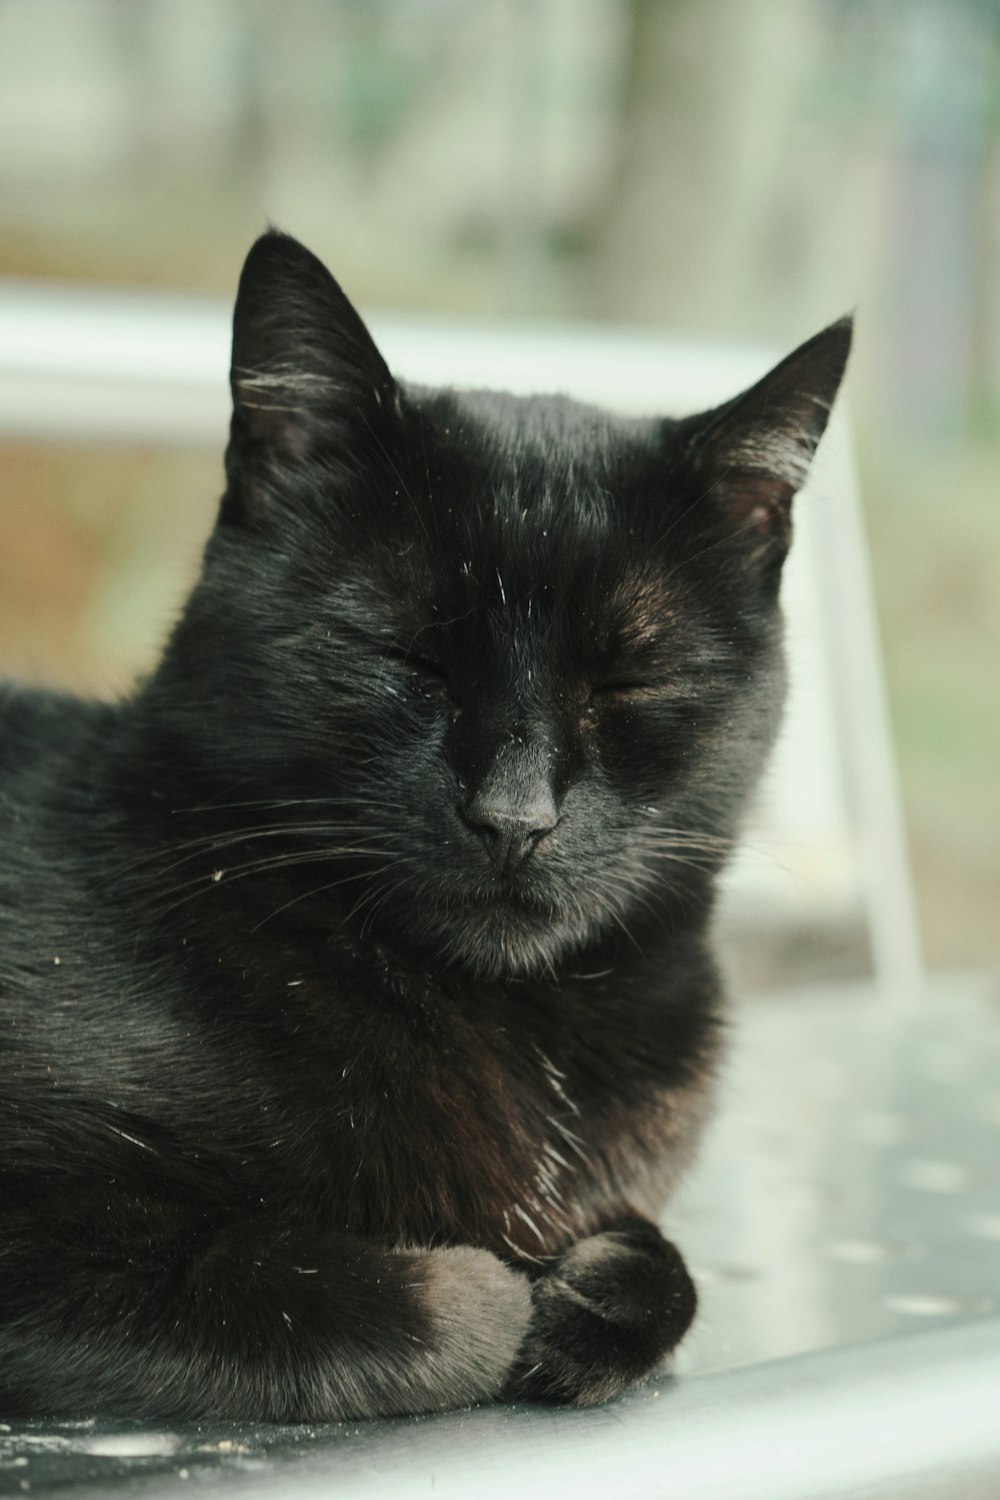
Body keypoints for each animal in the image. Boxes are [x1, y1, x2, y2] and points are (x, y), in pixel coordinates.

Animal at [0, 231, 851, 1416]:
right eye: (404, 654)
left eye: (631, 681)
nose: (514, 816)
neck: (517, 1026)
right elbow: (358, 1289)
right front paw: (497, 1302)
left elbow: (661, 1261)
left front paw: (593, 1298)